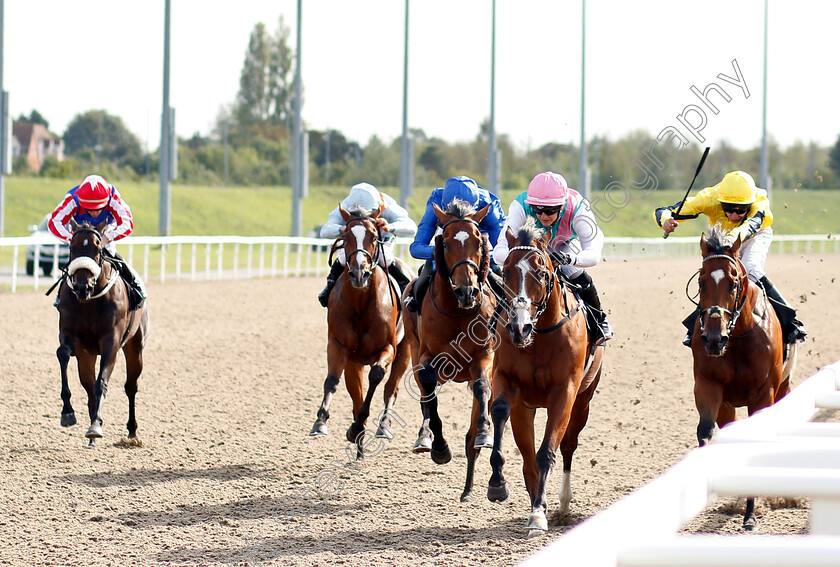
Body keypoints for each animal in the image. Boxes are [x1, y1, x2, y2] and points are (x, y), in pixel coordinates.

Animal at [56, 220, 149, 446]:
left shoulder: (111, 342)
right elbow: (62, 354)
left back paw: (131, 431)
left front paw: (95, 427)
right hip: (87, 356)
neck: (89, 302)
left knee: (130, 386)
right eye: (71, 247)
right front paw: (67, 413)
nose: (82, 286)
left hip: (135, 347)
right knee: (88, 387)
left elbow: (102, 382)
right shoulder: (71, 336)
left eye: (98, 249)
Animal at [310, 204, 412, 458]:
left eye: (374, 237)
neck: (361, 304)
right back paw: (359, 444)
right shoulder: (339, 346)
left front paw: (360, 426)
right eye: (345, 237)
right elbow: (332, 381)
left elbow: (376, 375)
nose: (359, 273)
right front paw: (321, 422)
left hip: (405, 351)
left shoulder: (388, 347)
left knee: (391, 389)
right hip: (354, 363)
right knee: (356, 395)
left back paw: (382, 427)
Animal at [402, 199, 498, 502]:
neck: (457, 312)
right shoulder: (426, 358)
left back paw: (469, 488)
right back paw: (425, 438)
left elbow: (481, 387)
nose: (467, 291)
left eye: (479, 241)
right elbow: (429, 393)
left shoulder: (485, 356)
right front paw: (440, 447)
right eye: (444, 243)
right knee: (425, 396)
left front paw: (484, 432)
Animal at [486, 222, 604, 536]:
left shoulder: (565, 392)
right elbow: (499, 413)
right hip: (526, 408)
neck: (538, 337)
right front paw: (498, 485)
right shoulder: (506, 380)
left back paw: (562, 504)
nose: (519, 328)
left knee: (567, 446)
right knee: (527, 458)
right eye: (506, 272)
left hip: (584, 400)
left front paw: (539, 515)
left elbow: (547, 452)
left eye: (541, 272)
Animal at [688, 224, 796, 532]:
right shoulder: (708, 386)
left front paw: (750, 515)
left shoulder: (763, 393)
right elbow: (705, 431)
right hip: (728, 405)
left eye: (734, 283)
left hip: (783, 388)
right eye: (701, 282)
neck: (736, 338)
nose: (714, 338)